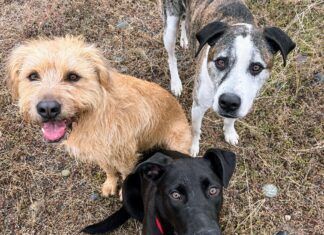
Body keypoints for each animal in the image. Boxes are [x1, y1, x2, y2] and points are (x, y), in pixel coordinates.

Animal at [6, 35, 192, 196]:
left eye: (73, 76)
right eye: (33, 75)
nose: (48, 109)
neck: (92, 113)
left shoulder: (124, 154)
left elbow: (125, 173)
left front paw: (123, 193)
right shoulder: (99, 151)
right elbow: (108, 169)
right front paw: (110, 184)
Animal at [162, 0, 296, 156]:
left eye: (256, 67)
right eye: (220, 62)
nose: (229, 102)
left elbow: (230, 120)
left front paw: (229, 133)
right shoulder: (198, 107)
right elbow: (196, 130)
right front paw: (192, 147)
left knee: (185, 20)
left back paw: (185, 38)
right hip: (170, 28)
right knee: (171, 56)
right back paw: (176, 83)